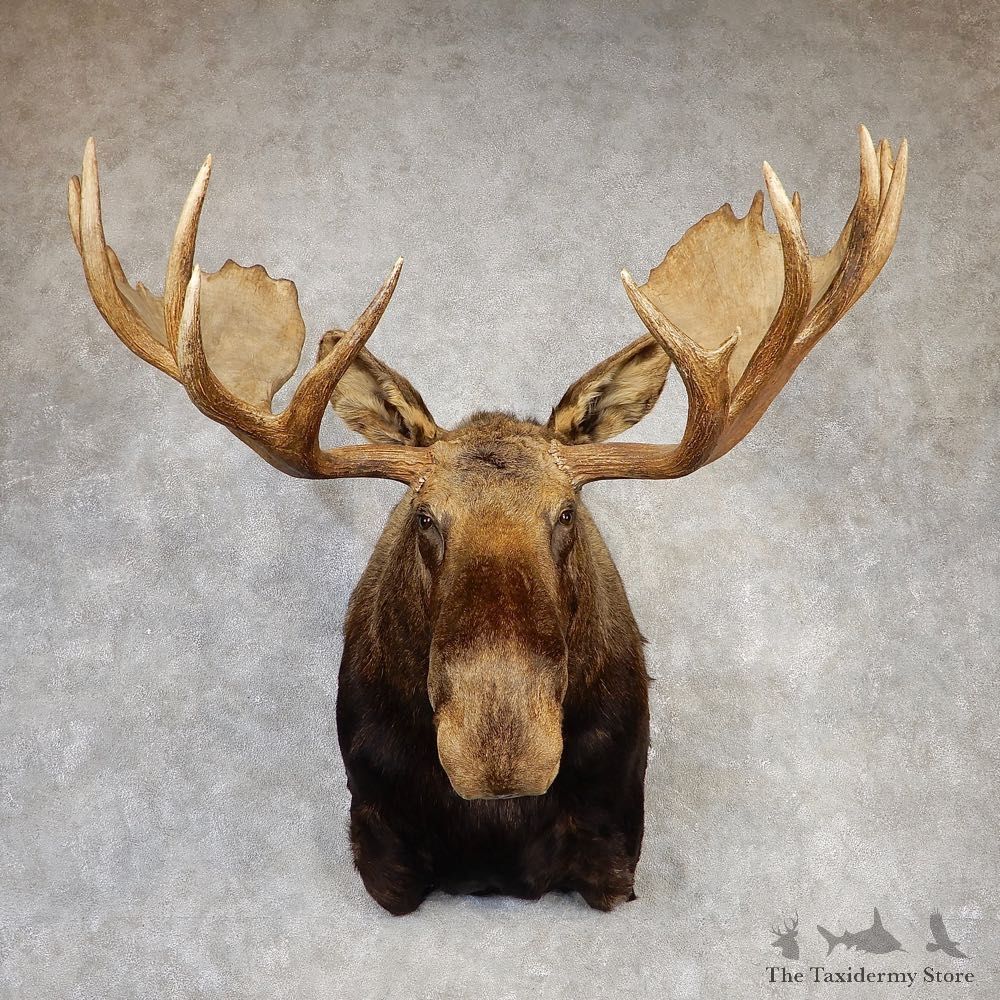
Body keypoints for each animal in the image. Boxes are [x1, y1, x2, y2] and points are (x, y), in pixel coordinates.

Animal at [69, 126, 907, 914]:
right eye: (424, 518)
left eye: (567, 514)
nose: (500, 746)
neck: (497, 833)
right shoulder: (378, 846)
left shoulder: (617, 846)